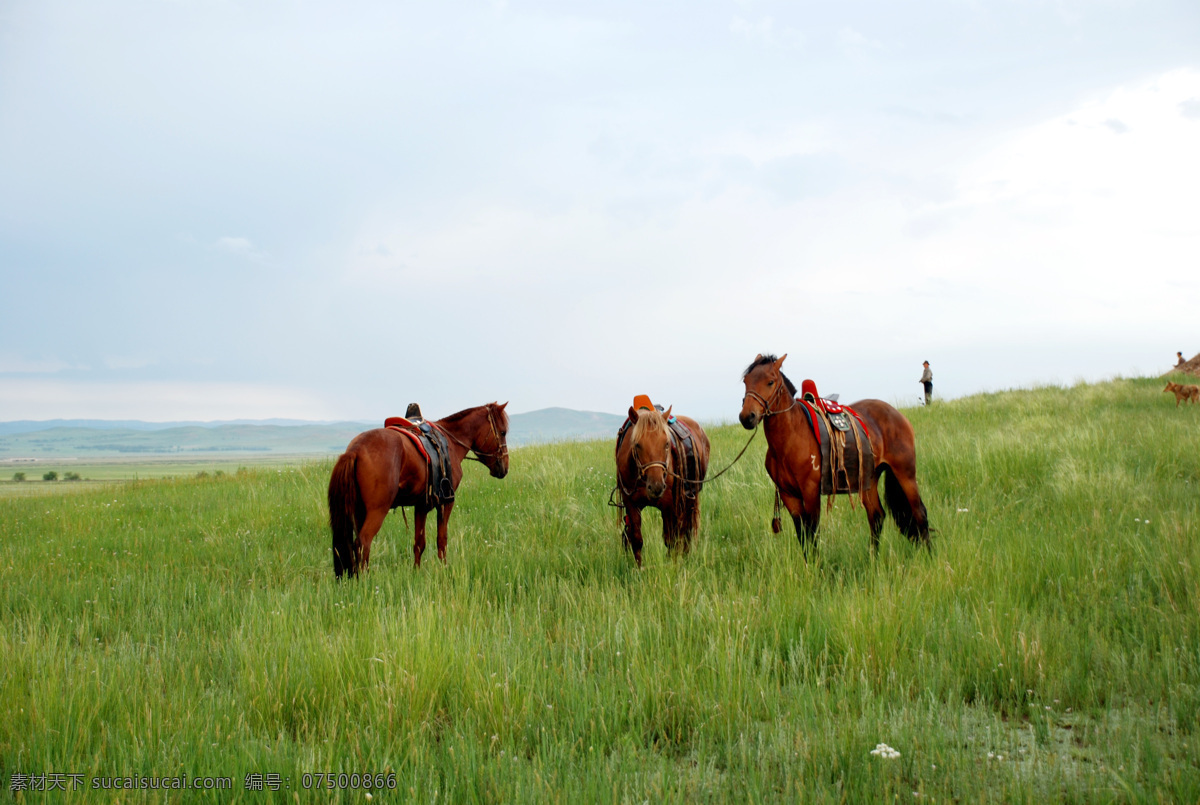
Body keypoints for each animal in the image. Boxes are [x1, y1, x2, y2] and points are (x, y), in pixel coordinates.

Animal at [328, 403, 511, 580]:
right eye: (503, 432)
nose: (504, 467)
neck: (451, 442)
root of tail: (355, 449)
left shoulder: (421, 505)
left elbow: (419, 543)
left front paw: (416, 572)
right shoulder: (446, 502)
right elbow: (441, 540)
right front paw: (444, 569)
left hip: (359, 511)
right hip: (376, 511)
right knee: (363, 543)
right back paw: (365, 581)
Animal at [739, 355, 926, 556]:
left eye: (770, 382)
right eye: (746, 381)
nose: (747, 417)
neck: (791, 437)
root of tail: (897, 414)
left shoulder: (811, 493)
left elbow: (812, 534)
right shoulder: (788, 495)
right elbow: (803, 536)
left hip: (905, 474)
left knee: (919, 513)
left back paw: (929, 555)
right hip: (869, 479)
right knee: (876, 516)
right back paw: (873, 560)